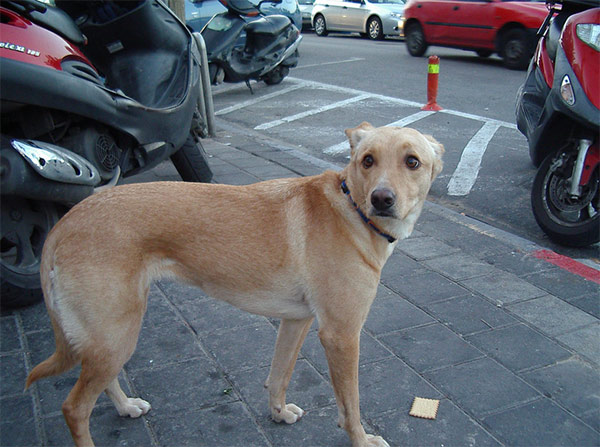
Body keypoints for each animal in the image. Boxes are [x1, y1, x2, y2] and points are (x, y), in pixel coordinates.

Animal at [25, 122, 442, 447]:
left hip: (110, 335)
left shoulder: (297, 322)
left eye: (412, 162)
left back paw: (126, 406)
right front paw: (361, 438)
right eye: (367, 160)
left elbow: (278, 375)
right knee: (75, 408)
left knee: (99, 382)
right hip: (117, 332)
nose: (381, 199)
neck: (352, 209)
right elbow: (350, 405)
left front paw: (277, 414)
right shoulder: (341, 336)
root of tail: (65, 223)